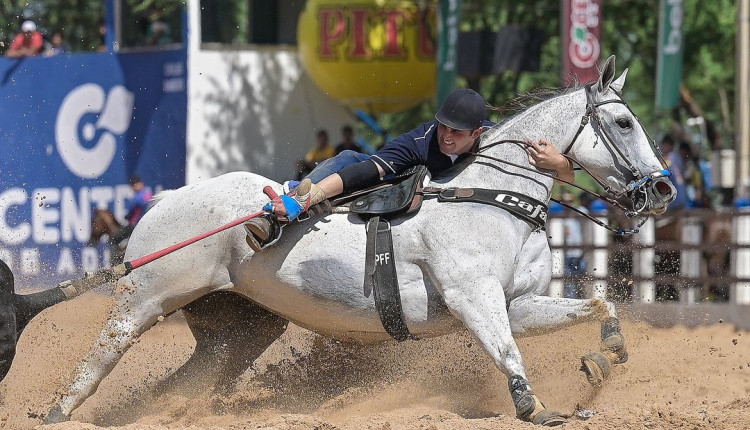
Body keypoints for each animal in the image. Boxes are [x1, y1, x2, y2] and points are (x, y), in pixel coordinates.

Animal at [39, 55, 676, 424]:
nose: (663, 188)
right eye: (624, 122)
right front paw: (535, 407)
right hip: (145, 297)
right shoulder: (475, 299)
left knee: (187, 380)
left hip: (240, 329)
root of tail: (166, 198)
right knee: (101, 356)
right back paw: (57, 413)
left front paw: (605, 359)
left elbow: (600, 305)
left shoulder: (515, 303)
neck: (492, 198)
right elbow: (507, 354)